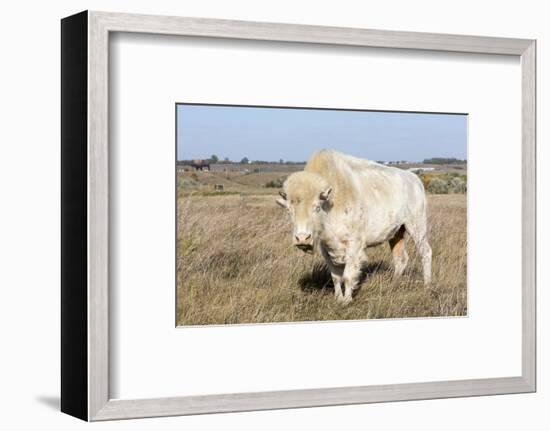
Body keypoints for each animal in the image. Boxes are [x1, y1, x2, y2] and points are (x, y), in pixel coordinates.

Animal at [278, 150, 434, 306]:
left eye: (316, 207)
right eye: (289, 210)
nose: (302, 238)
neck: (331, 202)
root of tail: (414, 179)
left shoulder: (354, 245)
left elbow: (348, 275)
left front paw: (347, 300)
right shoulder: (326, 247)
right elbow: (335, 276)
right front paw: (338, 298)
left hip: (417, 226)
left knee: (425, 252)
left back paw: (427, 285)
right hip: (397, 233)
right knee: (400, 259)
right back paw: (393, 285)